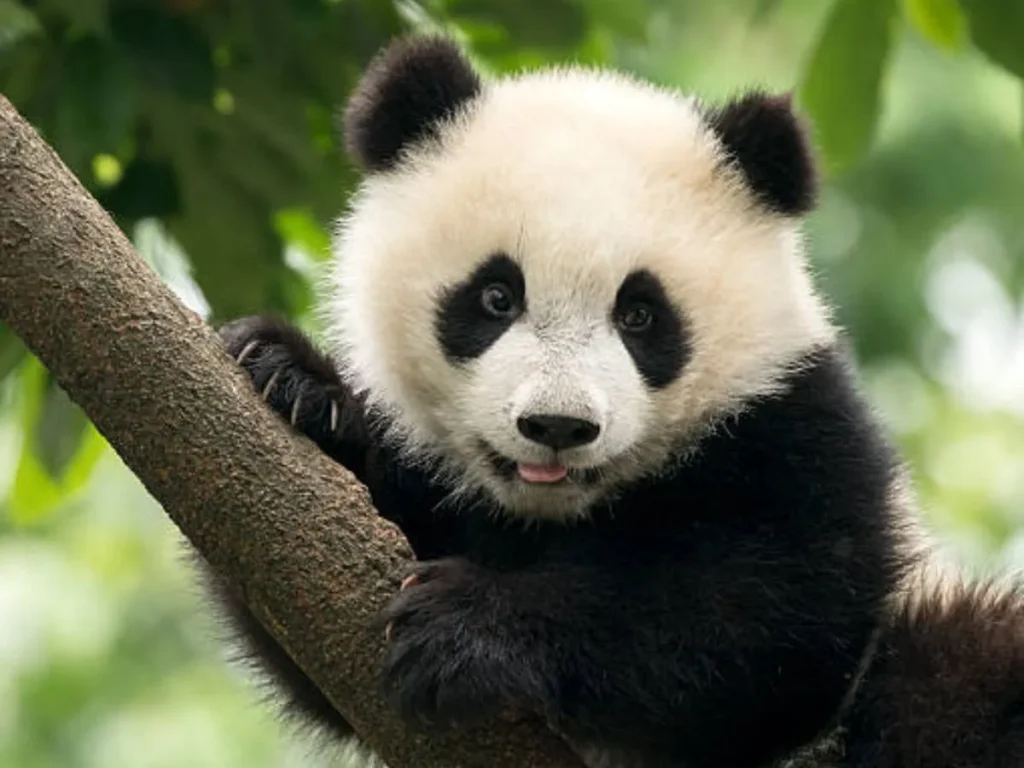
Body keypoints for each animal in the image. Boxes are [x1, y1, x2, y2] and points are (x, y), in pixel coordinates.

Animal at [208, 35, 1024, 768]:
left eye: (640, 315)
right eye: (496, 296)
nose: (557, 425)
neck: (555, 514)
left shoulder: (796, 424)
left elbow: (772, 619)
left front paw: (467, 629)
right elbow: (310, 623)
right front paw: (296, 383)